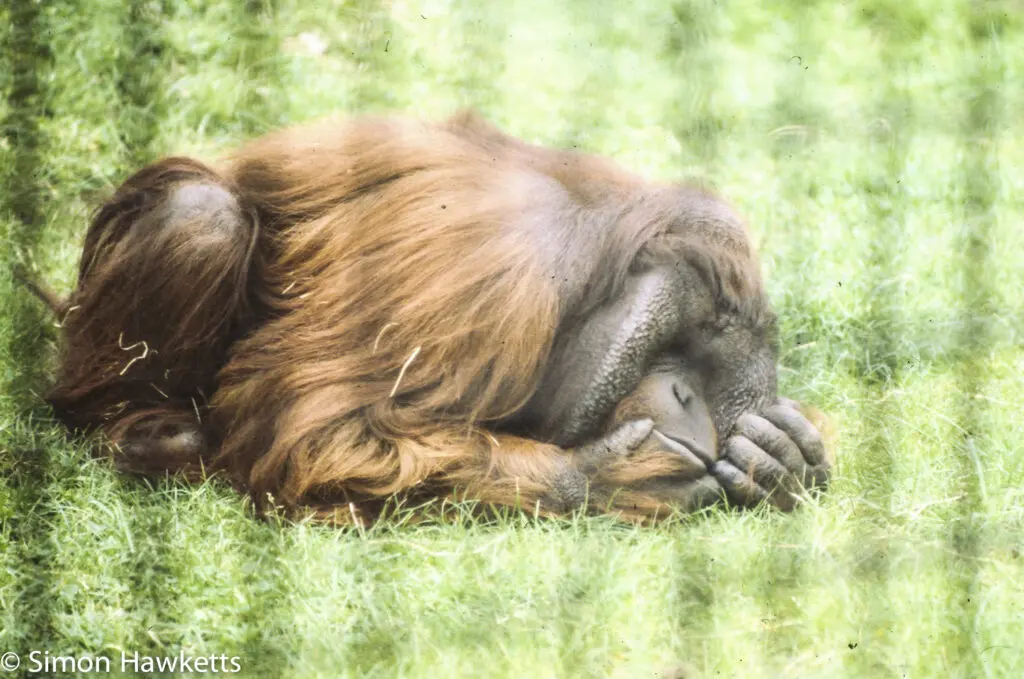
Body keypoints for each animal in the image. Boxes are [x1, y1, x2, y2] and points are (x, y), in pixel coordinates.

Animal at [31, 111, 830, 523]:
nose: (688, 395)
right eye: (677, 344)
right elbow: (312, 428)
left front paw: (782, 454)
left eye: (713, 373)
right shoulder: (494, 284)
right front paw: (608, 479)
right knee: (200, 217)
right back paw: (144, 431)